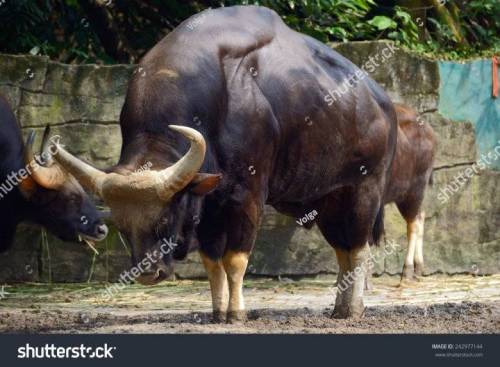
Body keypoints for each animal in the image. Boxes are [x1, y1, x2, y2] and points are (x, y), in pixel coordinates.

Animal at [52, 5, 396, 322]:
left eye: (165, 219)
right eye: (122, 228)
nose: (149, 274)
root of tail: (380, 102)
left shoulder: (248, 197)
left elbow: (235, 261)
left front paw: (236, 313)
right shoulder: (209, 205)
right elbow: (212, 263)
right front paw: (218, 312)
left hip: (364, 189)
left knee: (358, 249)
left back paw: (353, 309)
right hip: (328, 200)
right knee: (342, 250)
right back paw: (339, 309)